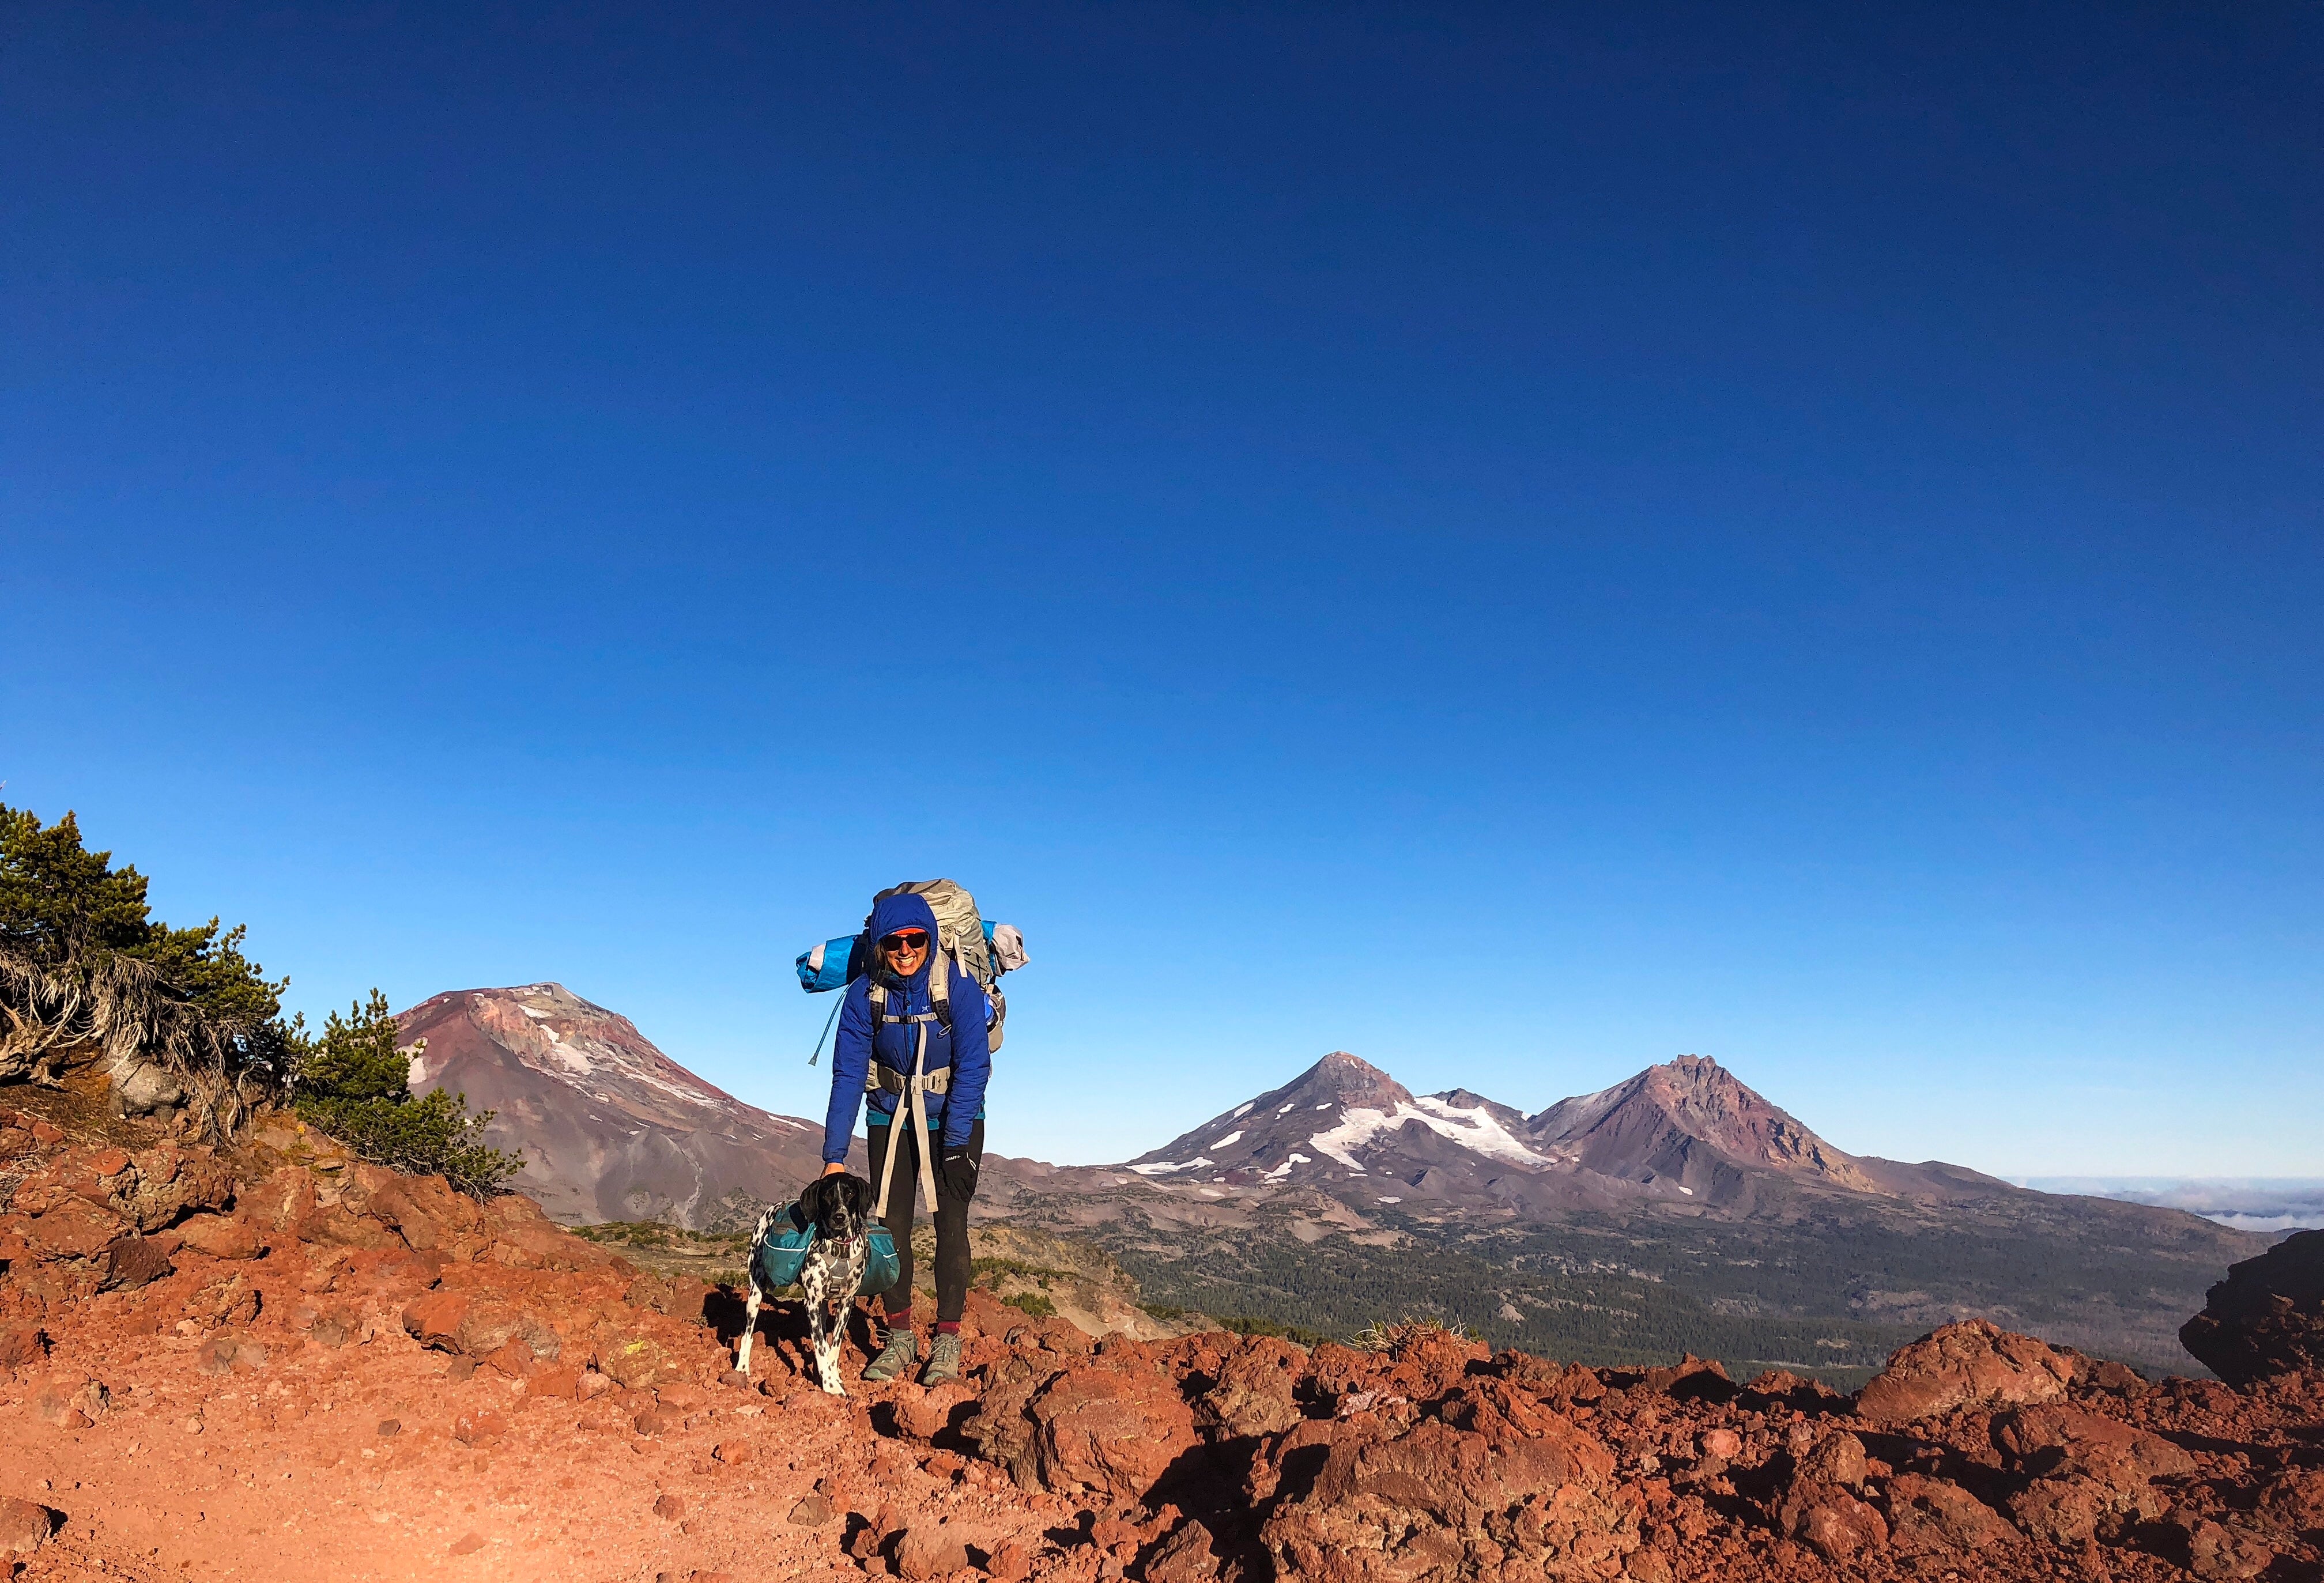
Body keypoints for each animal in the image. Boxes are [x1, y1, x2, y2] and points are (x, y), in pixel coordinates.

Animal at [744, 1166, 878, 1385]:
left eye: (850, 1193)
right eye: (827, 1195)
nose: (839, 1217)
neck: (839, 1247)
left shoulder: (846, 1302)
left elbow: (833, 1345)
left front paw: (833, 1375)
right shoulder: (812, 1303)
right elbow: (821, 1347)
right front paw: (831, 1386)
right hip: (755, 1293)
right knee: (748, 1333)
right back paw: (742, 1369)